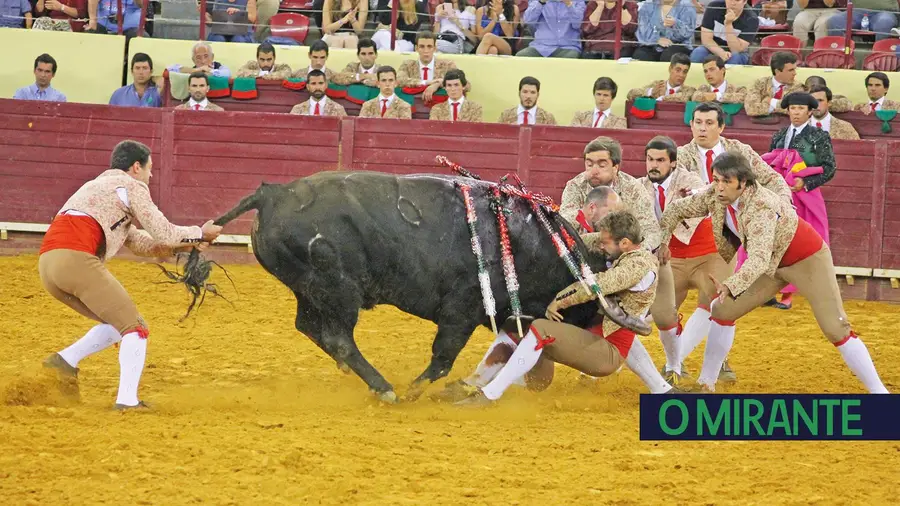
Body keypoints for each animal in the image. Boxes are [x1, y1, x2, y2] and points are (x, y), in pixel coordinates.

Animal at [211, 172, 648, 402]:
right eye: (587, 311)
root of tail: (272, 193)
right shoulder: (462, 311)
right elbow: (443, 358)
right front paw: (416, 391)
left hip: (312, 291)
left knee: (309, 326)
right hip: (337, 291)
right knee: (337, 336)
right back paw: (385, 389)